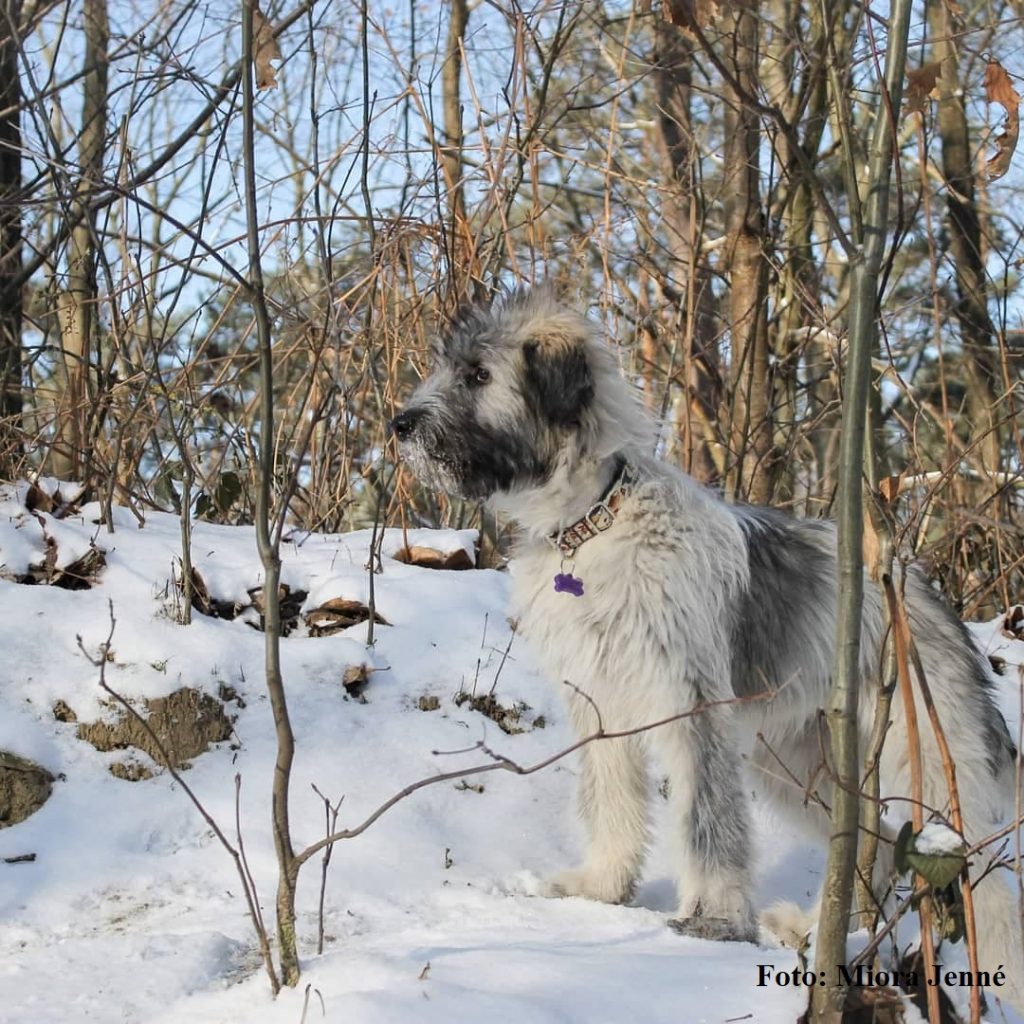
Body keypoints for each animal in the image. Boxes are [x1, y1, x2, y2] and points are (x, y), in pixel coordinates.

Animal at [391, 288, 1024, 1007]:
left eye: (477, 375)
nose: (400, 424)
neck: (595, 520)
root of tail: (930, 601)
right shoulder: (600, 703)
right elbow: (611, 802)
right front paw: (601, 888)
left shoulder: (690, 703)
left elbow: (706, 819)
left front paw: (712, 922)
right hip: (804, 766)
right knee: (874, 847)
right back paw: (819, 932)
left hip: (926, 767)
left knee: (985, 891)